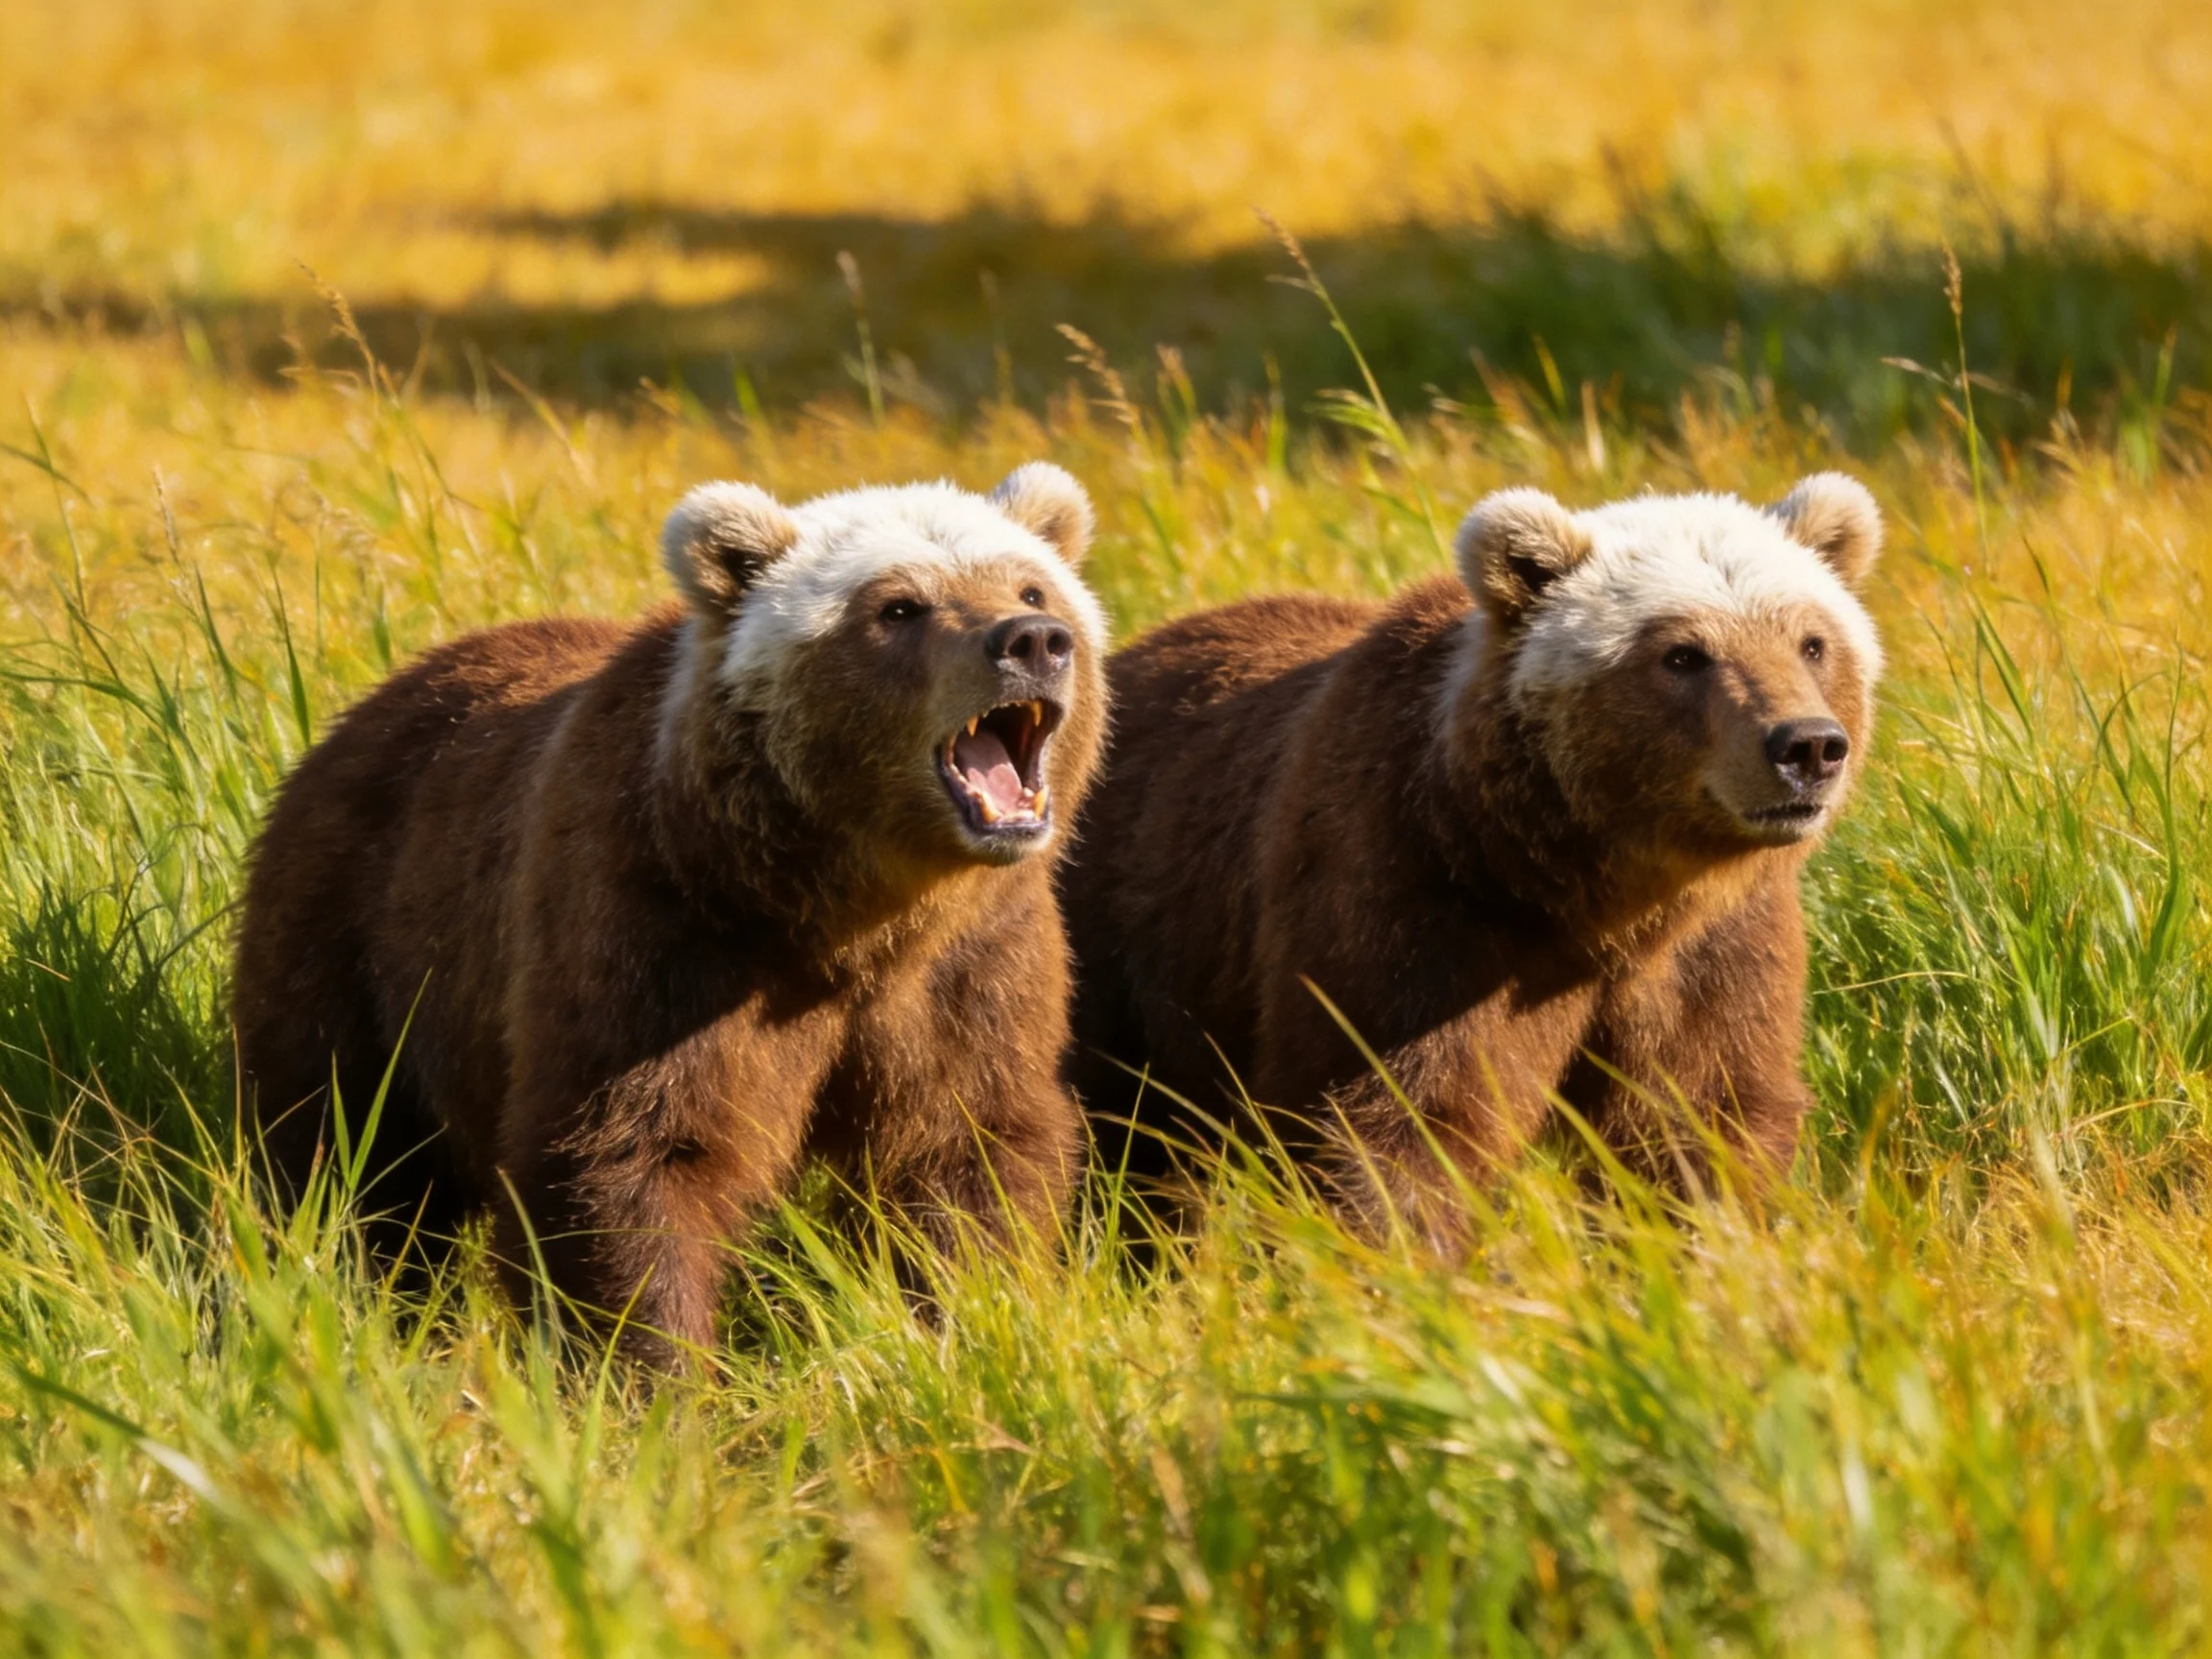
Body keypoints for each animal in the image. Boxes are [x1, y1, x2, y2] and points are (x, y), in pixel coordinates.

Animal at [232, 463, 1109, 1363]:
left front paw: (963, 1319)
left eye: (1031, 585)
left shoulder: (970, 964)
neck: (849, 913)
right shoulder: (660, 927)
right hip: (355, 931)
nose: (1032, 640)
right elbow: (632, 1156)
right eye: (898, 607)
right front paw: (648, 1364)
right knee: (341, 1143)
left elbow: (966, 1146)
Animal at [1062, 474, 1882, 1242]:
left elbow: (1699, 1113)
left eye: (1811, 641)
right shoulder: (1422, 900)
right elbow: (1400, 1113)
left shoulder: (1712, 946)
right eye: (1682, 653)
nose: (1807, 745)